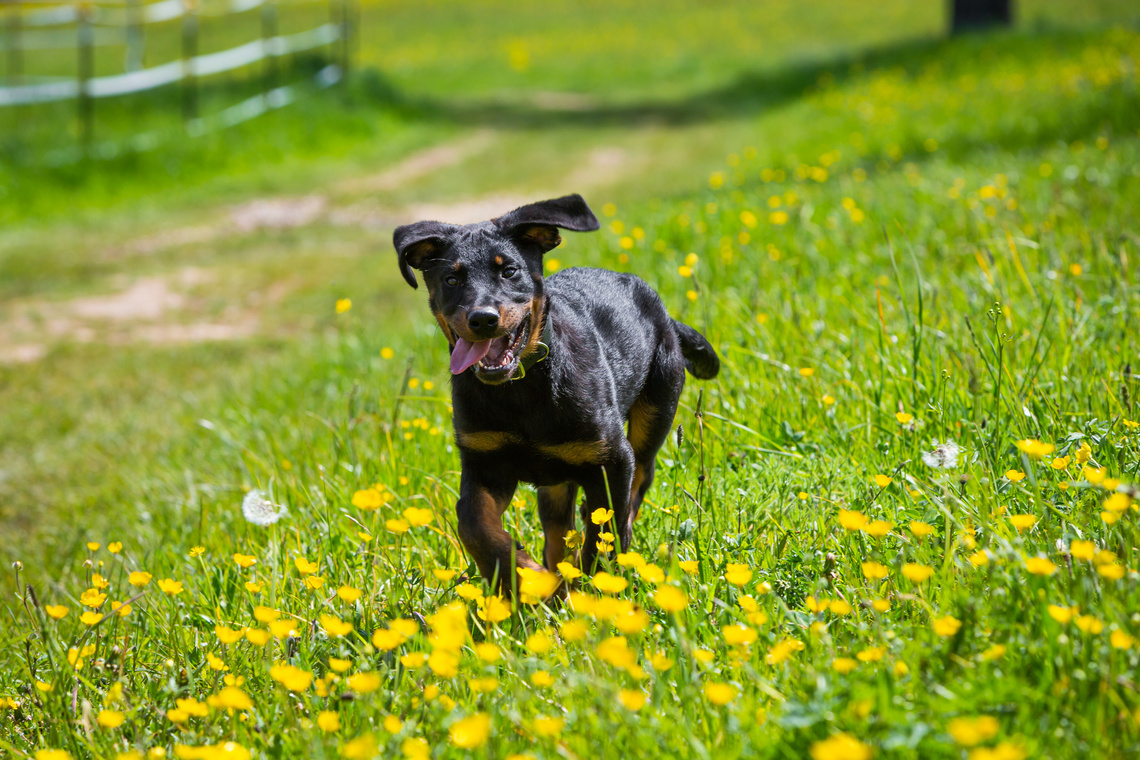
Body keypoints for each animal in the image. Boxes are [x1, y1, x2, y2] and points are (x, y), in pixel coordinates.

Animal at [396, 193, 715, 592]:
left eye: (510, 271)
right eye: (451, 279)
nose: (482, 319)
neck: (519, 390)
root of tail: (667, 317)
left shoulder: (612, 458)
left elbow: (605, 531)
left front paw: (596, 585)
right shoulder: (485, 461)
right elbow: (472, 524)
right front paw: (520, 576)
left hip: (655, 409)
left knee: (638, 482)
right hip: (558, 473)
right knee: (557, 526)